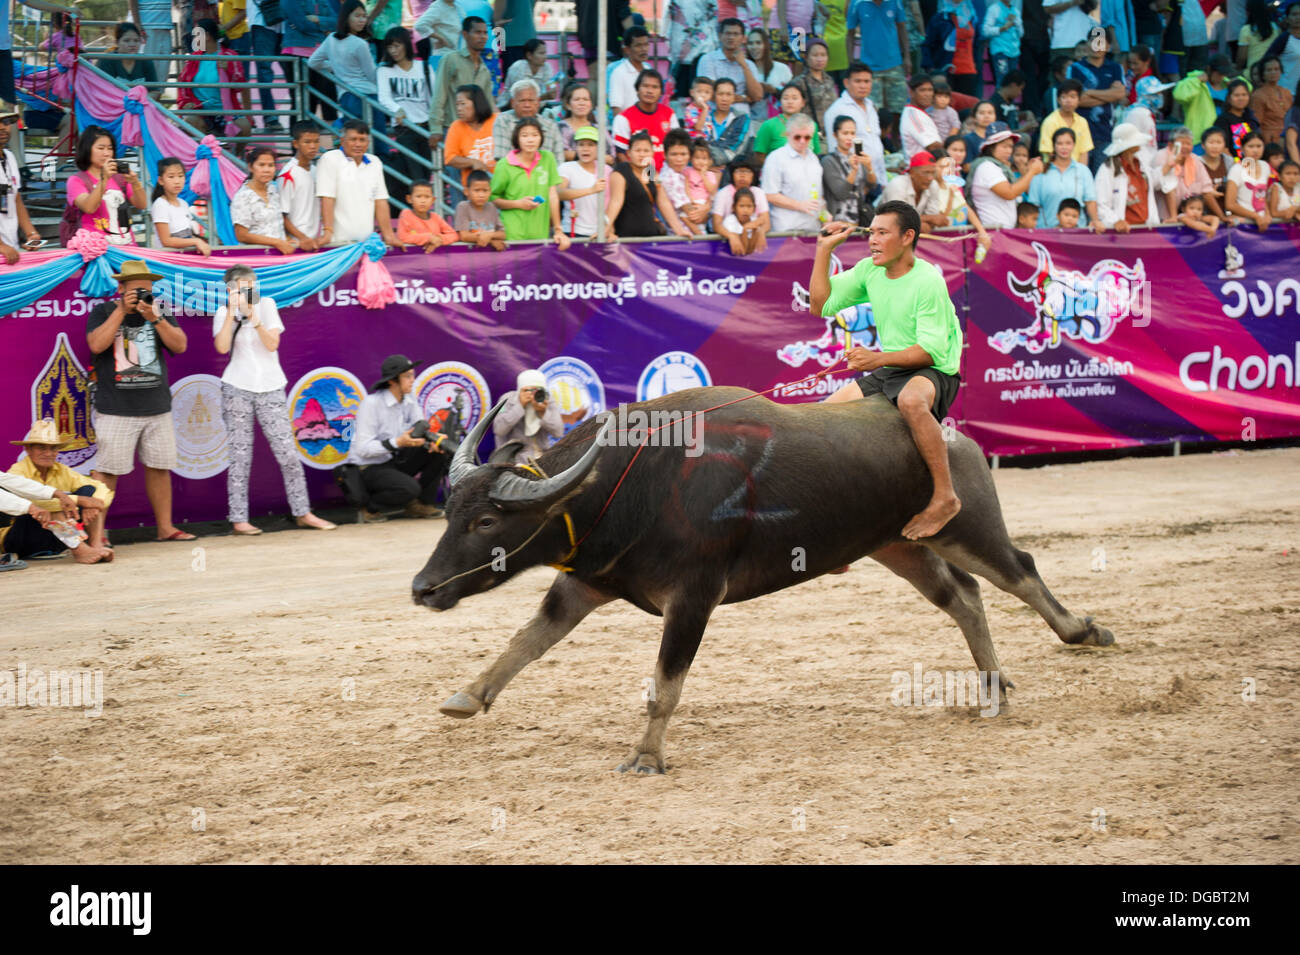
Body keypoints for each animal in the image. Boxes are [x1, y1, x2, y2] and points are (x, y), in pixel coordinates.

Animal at [410, 389, 1112, 779]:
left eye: (487, 519)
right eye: (449, 511)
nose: (422, 588)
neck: (636, 482)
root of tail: (948, 434)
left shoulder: (694, 599)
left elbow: (665, 685)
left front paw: (647, 756)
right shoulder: (584, 585)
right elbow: (525, 643)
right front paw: (468, 696)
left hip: (967, 527)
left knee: (1021, 572)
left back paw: (1083, 632)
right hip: (900, 547)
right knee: (964, 596)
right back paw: (992, 686)